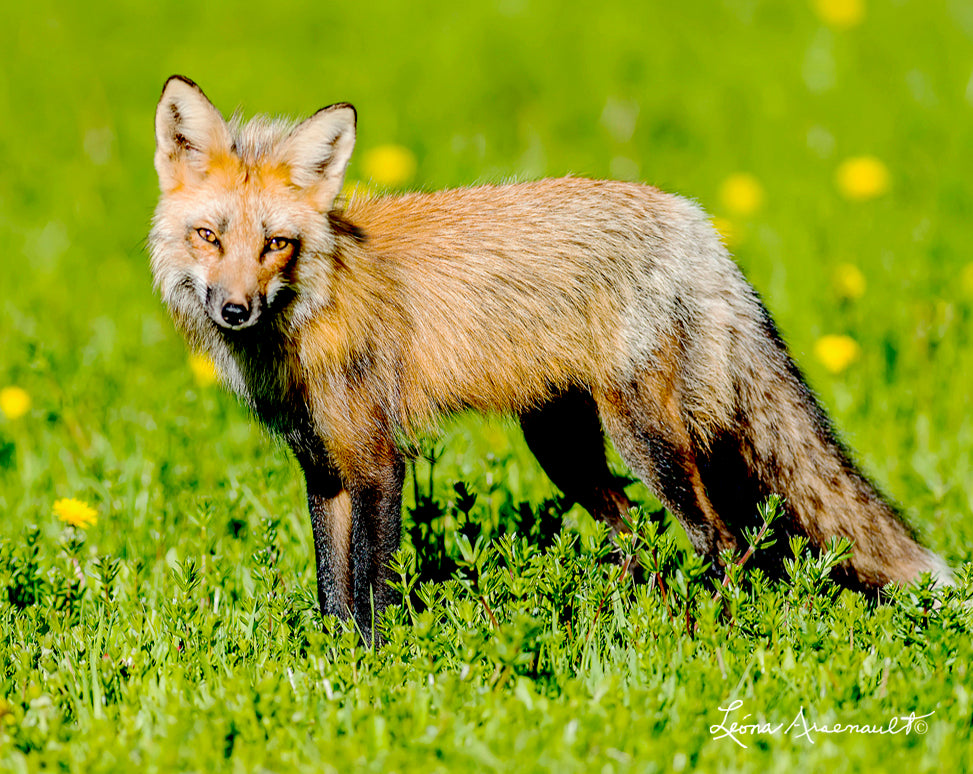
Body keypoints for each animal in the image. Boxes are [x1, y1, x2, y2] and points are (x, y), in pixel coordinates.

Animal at [149, 75, 951, 638]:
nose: (234, 310)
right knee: (640, 542)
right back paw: (652, 625)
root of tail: (696, 222)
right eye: (209, 237)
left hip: (647, 441)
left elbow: (371, 582)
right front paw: (334, 665)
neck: (309, 313)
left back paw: (722, 638)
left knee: (723, 542)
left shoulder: (377, 459)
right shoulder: (322, 463)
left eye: (276, 244)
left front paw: (379, 667)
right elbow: (331, 590)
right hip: (565, 451)